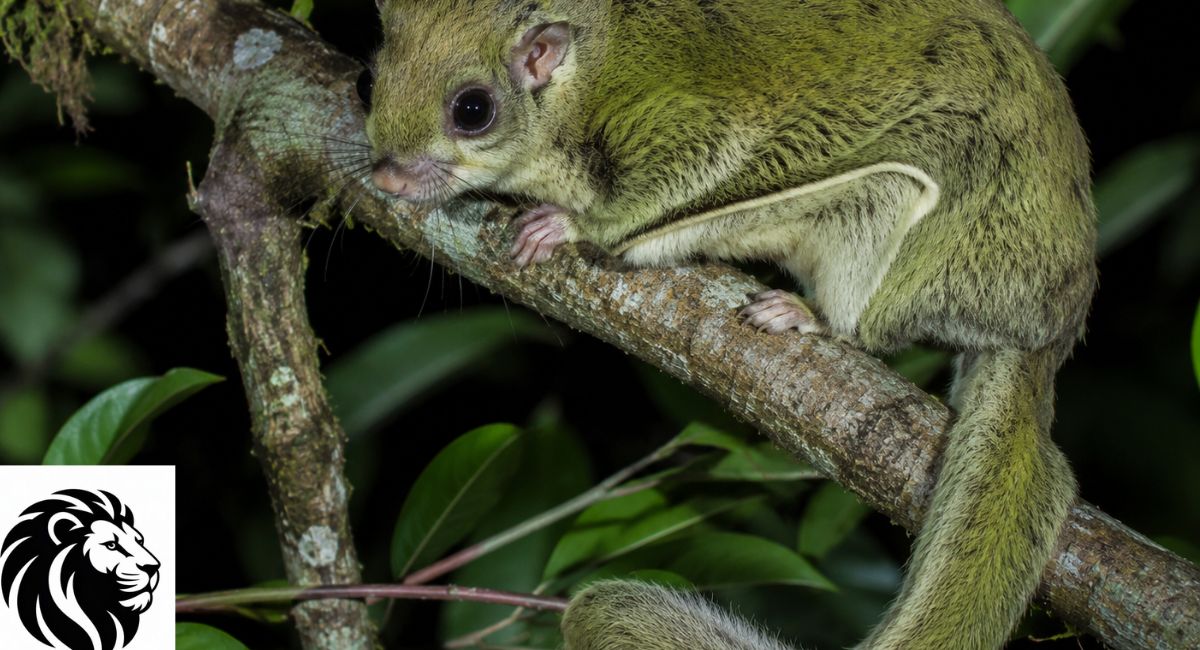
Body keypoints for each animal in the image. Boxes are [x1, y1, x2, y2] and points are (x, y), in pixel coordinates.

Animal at [363, 1, 1097, 648]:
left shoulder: (672, 120)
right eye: (374, 80)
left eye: (472, 110)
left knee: (885, 213)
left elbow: (697, 166)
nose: (387, 179)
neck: (581, 77)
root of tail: (1052, 328)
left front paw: (571, 226)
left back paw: (820, 318)